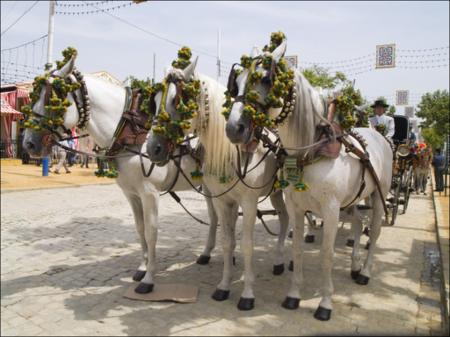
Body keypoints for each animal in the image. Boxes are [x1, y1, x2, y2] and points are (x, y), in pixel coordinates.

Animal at [20, 48, 221, 292]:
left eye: (52, 99)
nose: (28, 144)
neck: (131, 134)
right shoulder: (131, 194)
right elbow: (140, 229)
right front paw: (142, 267)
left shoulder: (149, 193)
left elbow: (151, 233)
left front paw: (149, 279)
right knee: (214, 217)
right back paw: (207, 253)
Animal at [227, 33, 392, 320]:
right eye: (235, 82)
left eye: (266, 79)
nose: (233, 128)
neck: (309, 151)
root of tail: (378, 135)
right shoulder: (296, 206)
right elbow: (297, 247)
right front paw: (293, 295)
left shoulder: (331, 209)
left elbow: (326, 254)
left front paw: (325, 304)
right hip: (352, 201)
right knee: (358, 223)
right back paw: (354, 265)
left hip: (377, 197)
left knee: (374, 231)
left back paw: (365, 271)